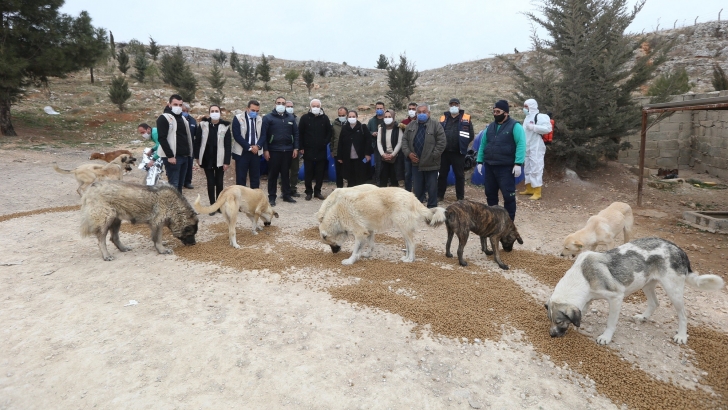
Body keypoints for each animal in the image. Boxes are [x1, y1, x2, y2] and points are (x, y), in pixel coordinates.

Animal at [544, 237, 724, 346]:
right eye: (550, 320)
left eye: (559, 321)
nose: (551, 335)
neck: (583, 276)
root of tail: (678, 249)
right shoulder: (587, 299)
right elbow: (583, 312)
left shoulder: (616, 297)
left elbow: (611, 322)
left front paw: (606, 337)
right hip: (647, 284)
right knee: (655, 303)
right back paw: (643, 317)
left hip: (673, 290)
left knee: (683, 314)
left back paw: (681, 335)